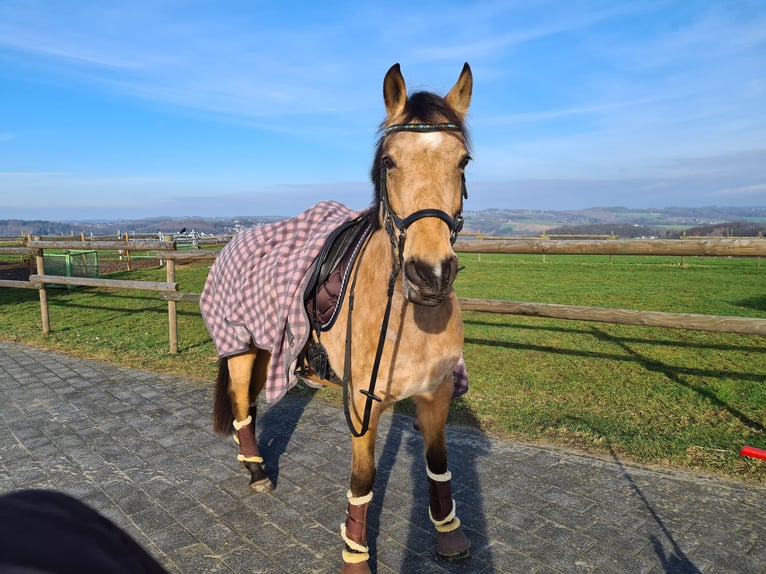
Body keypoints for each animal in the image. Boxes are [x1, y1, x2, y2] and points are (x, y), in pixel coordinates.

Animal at [201, 63, 472, 574]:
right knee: (242, 403)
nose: (430, 273)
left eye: (463, 161)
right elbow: (363, 480)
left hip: (268, 351)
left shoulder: (437, 394)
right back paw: (257, 471)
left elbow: (438, 462)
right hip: (241, 347)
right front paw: (355, 556)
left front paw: (449, 534)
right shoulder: (363, 407)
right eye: (389, 163)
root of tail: (230, 243)